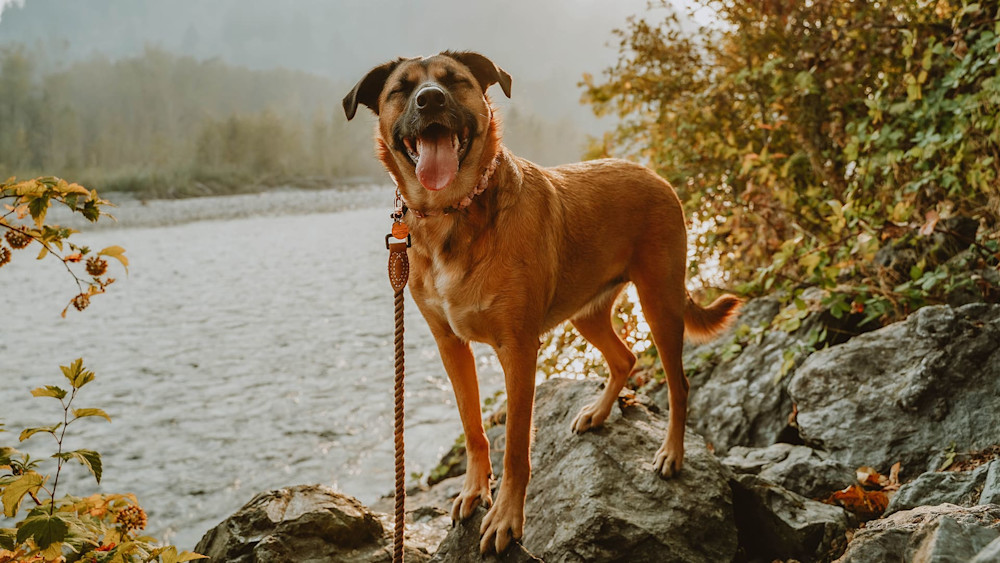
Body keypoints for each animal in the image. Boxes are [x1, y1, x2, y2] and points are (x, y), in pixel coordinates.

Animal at [344, 50, 744, 552]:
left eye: (454, 81)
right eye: (402, 88)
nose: (430, 100)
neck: (454, 213)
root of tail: (653, 173)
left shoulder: (518, 349)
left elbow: (516, 445)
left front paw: (506, 516)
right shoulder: (450, 345)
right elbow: (473, 427)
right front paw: (475, 489)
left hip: (660, 302)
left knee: (679, 385)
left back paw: (671, 452)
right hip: (586, 313)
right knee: (625, 358)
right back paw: (598, 412)